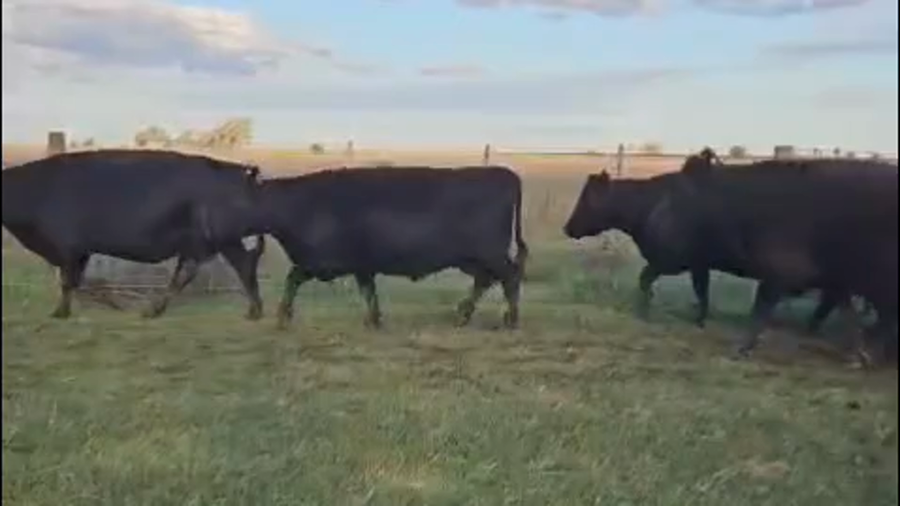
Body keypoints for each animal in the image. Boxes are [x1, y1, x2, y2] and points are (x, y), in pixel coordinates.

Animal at [1, 149, 266, 320]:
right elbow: (74, 282)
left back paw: (254, 311)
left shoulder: (68, 248)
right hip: (200, 243)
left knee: (243, 266)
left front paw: (60, 313)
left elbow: (67, 282)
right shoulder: (80, 251)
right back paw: (154, 310)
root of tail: (237, 170)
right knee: (186, 273)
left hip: (227, 240)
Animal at [255, 165, 528, 330]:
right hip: (473, 259)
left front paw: (282, 316)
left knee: (509, 276)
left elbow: (292, 278)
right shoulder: (359, 265)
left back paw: (511, 320)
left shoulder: (321, 262)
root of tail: (506, 173)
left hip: (490, 254)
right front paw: (374, 320)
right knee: (485, 280)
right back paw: (463, 315)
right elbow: (368, 291)